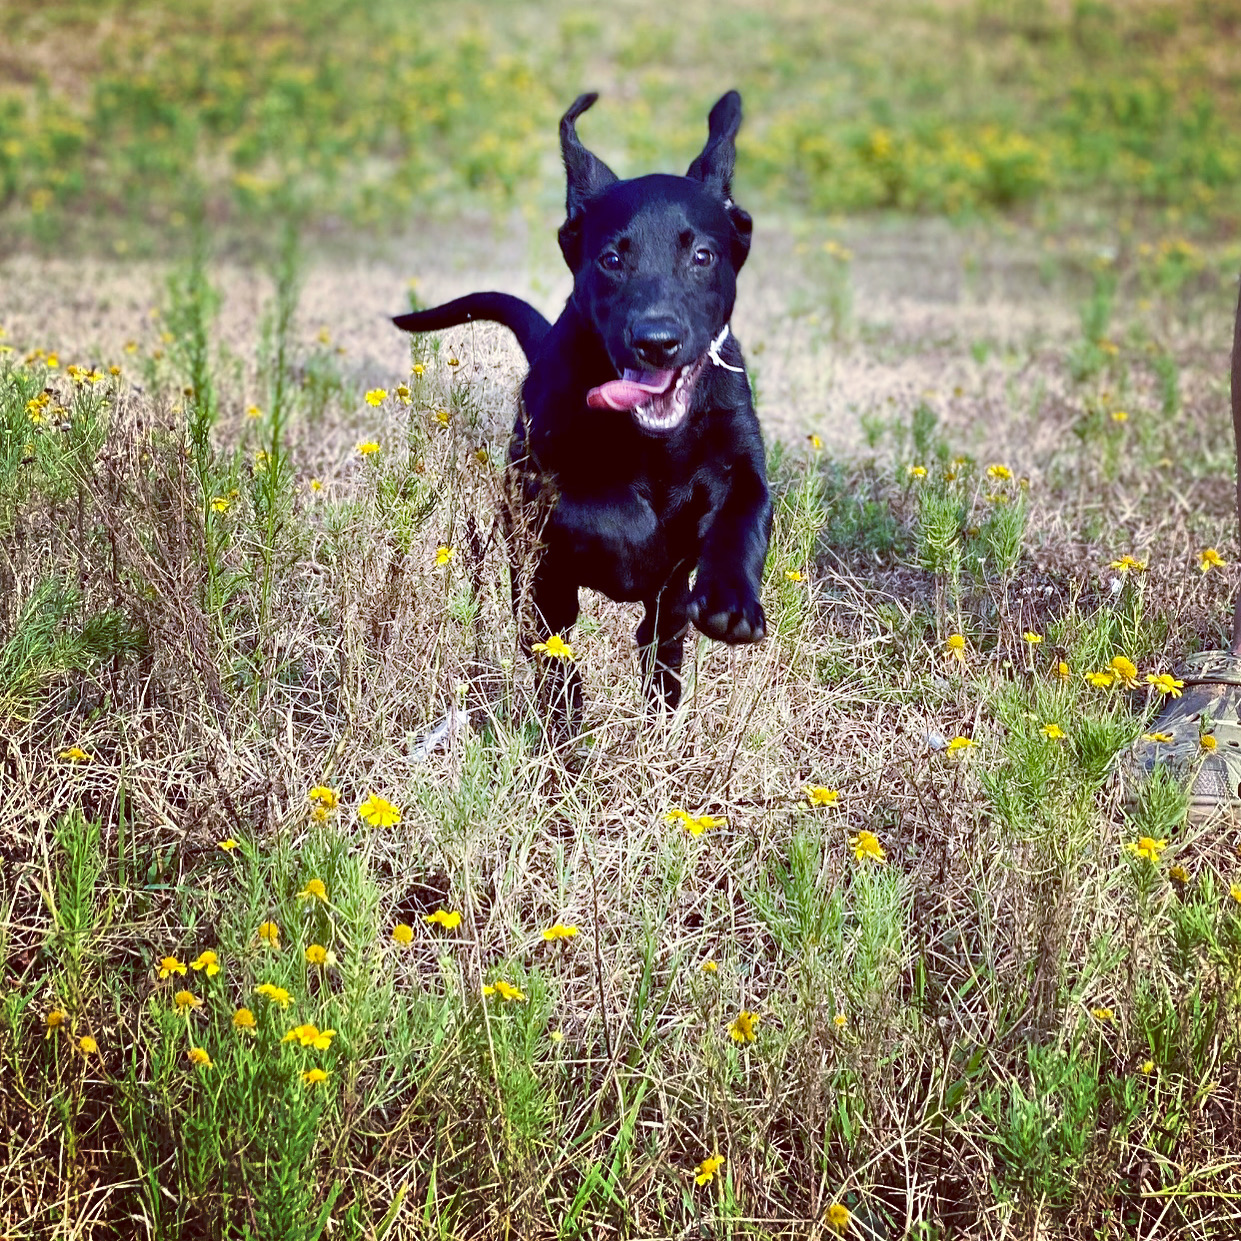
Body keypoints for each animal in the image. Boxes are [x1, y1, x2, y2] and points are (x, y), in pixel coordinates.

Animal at [394, 91, 764, 719]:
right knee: (550, 643)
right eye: (611, 260)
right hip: (533, 573)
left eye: (703, 256)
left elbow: (742, 517)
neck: (655, 439)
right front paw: (644, 558)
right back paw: (564, 713)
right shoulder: (545, 486)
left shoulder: (741, 461)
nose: (657, 341)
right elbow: (613, 513)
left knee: (660, 638)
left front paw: (730, 604)